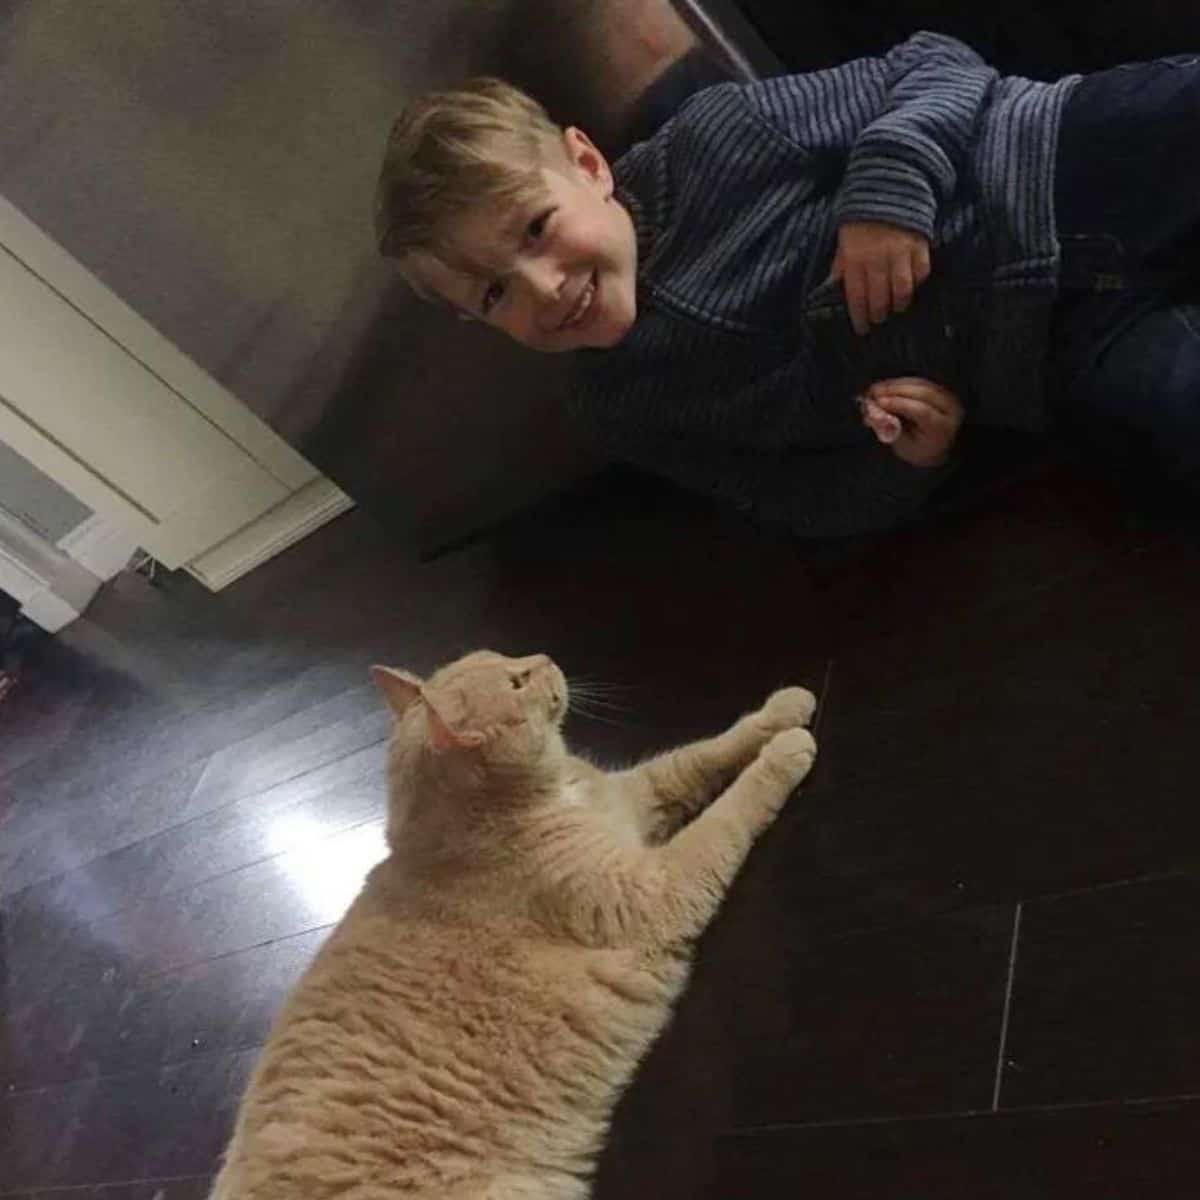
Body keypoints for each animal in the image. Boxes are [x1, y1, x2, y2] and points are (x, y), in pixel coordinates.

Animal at [211, 652, 820, 1195]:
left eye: (509, 660)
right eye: (516, 680)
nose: (546, 657)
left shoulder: (635, 796)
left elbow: (704, 752)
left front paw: (786, 708)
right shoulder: (655, 886)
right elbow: (730, 813)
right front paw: (787, 751)